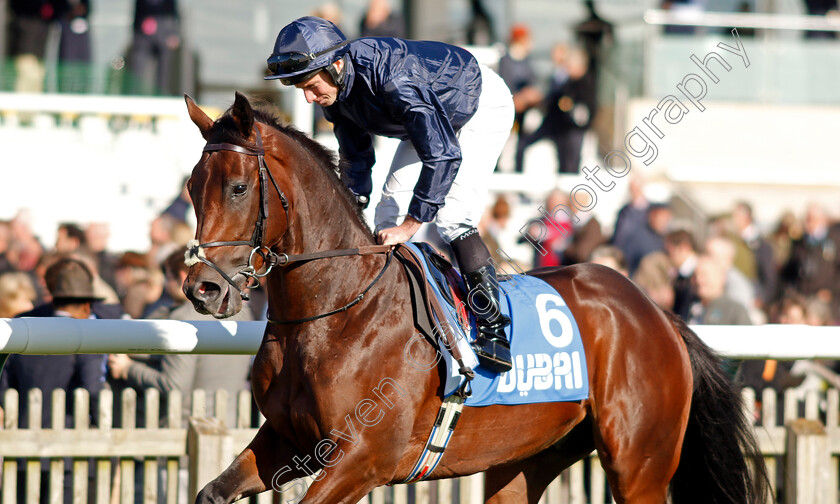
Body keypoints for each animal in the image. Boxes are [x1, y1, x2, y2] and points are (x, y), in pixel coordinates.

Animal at [182, 92, 768, 502]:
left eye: (237, 187)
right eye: (191, 186)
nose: (202, 288)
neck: (335, 311)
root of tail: (659, 316)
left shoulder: (362, 459)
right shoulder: (287, 440)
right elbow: (211, 490)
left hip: (639, 465)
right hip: (527, 458)